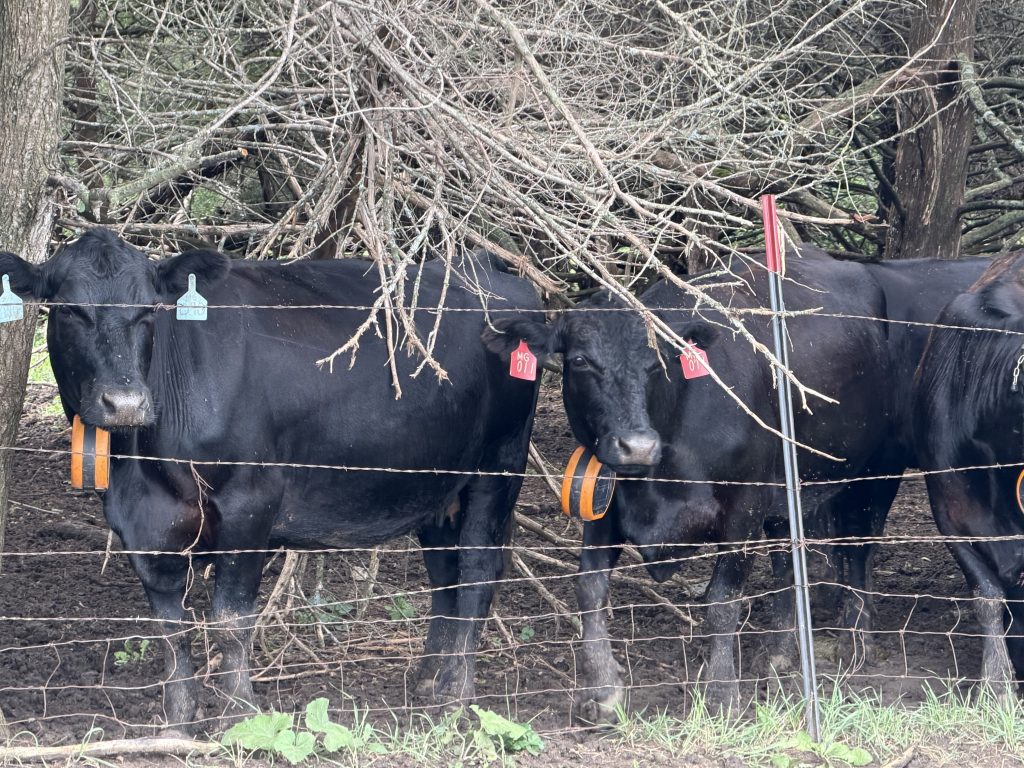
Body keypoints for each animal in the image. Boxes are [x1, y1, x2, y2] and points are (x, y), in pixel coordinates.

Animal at [0, 228, 542, 732]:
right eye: (69, 310)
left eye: (149, 309)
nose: (126, 403)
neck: (143, 462)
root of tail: (490, 268)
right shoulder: (141, 522)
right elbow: (170, 625)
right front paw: (178, 722)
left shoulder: (250, 503)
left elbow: (230, 620)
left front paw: (240, 717)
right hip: (439, 484)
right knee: (445, 575)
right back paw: (428, 683)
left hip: (498, 467)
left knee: (477, 571)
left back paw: (456, 698)